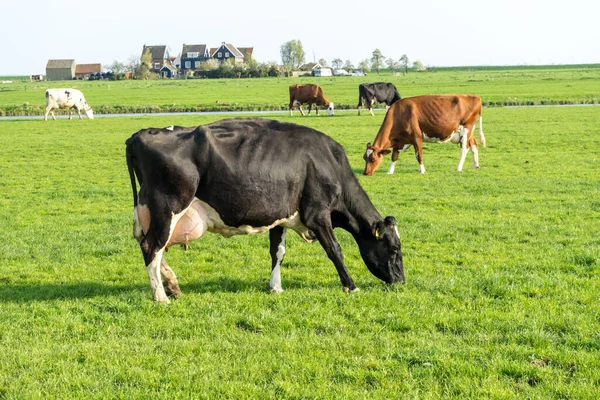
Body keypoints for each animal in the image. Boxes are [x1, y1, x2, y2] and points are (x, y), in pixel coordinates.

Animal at [127, 119, 408, 304]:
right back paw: (161, 297)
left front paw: (275, 287)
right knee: (152, 247)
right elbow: (335, 250)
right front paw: (351, 286)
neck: (328, 163)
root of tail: (141, 134)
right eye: (394, 249)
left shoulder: (281, 217)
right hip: (168, 207)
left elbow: (278, 252)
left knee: (150, 246)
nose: (401, 281)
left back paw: (173, 285)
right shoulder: (318, 214)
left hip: (153, 212)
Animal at [360, 95, 488, 175]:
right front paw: (389, 171)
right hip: (468, 131)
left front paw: (422, 171)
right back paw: (476, 165)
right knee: (474, 146)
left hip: (466, 129)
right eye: (364, 158)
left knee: (464, 149)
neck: (399, 114)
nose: (366, 173)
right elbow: (394, 156)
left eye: (372, 159)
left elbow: (419, 156)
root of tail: (475, 97)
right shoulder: (399, 140)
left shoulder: (417, 137)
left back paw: (458, 168)